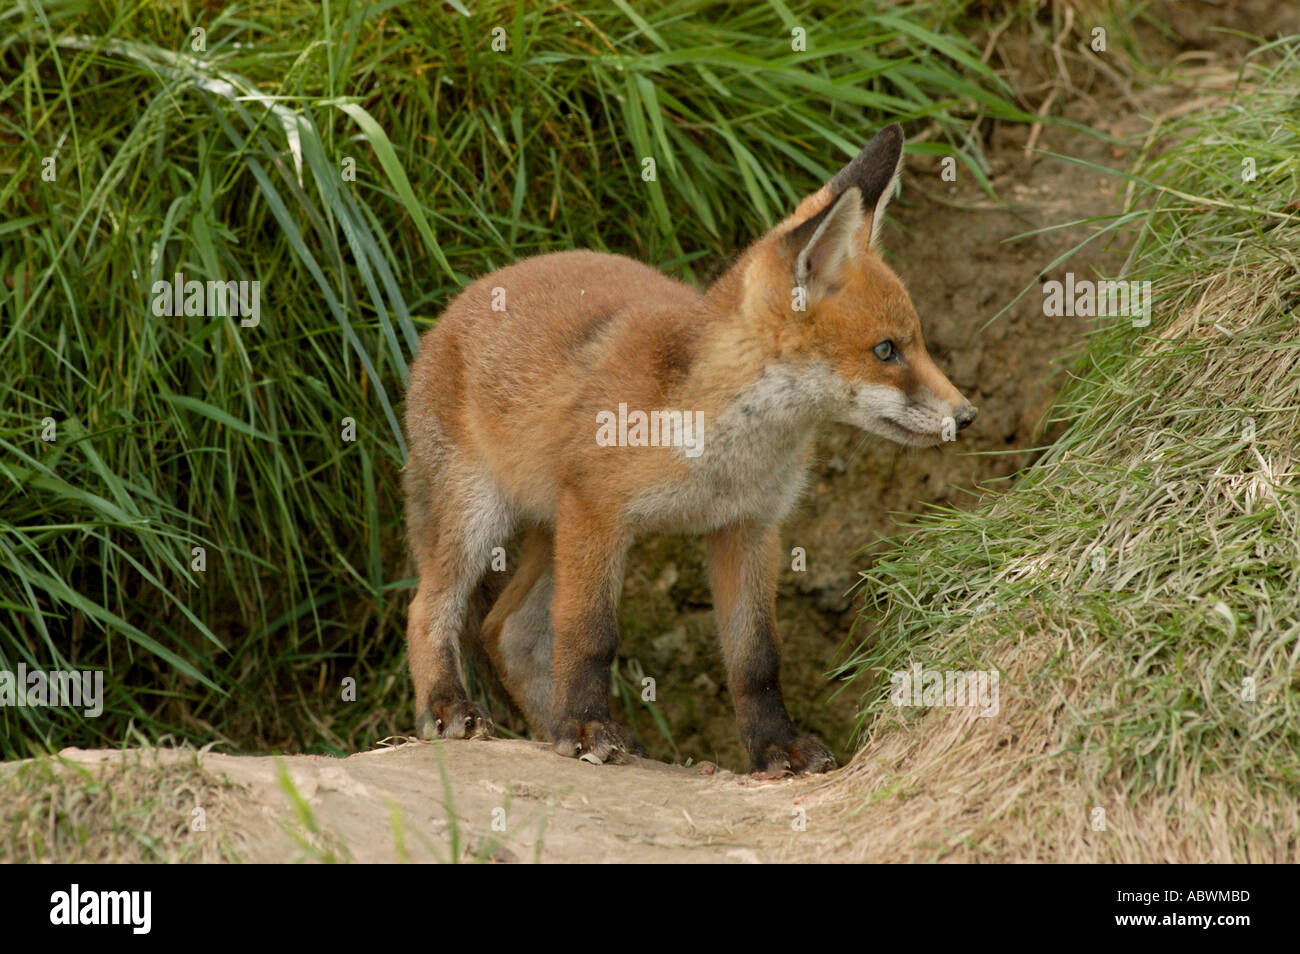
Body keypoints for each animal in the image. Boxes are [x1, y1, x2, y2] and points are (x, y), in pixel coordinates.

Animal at [403, 123, 976, 775]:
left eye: (918, 343)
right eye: (886, 351)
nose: (967, 415)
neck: (722, 453)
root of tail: (460, 302)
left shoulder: (748, 526)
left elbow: (757, 659)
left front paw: (774, 745)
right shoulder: (598, 512)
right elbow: (589, 635)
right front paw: (587, 727)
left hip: (552, 529)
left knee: (508, 630)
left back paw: (551, 727)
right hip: (477, 516)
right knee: (429, 609)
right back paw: (451, 707)